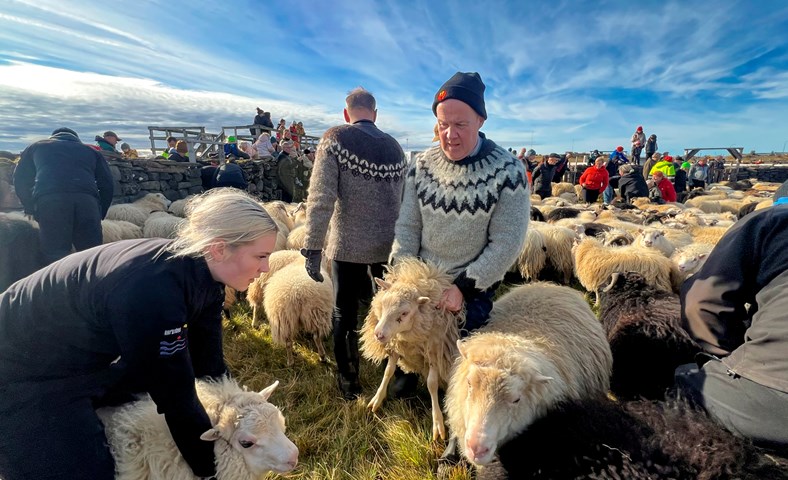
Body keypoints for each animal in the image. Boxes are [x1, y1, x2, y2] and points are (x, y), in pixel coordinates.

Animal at [362, 256, 464, 440]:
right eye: (383, 304)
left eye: (404, 313)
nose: (378, 334)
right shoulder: (396, 345)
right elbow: (388, 371)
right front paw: (377, 399)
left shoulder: (434, 349)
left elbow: (432, 383)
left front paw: (438, 423)